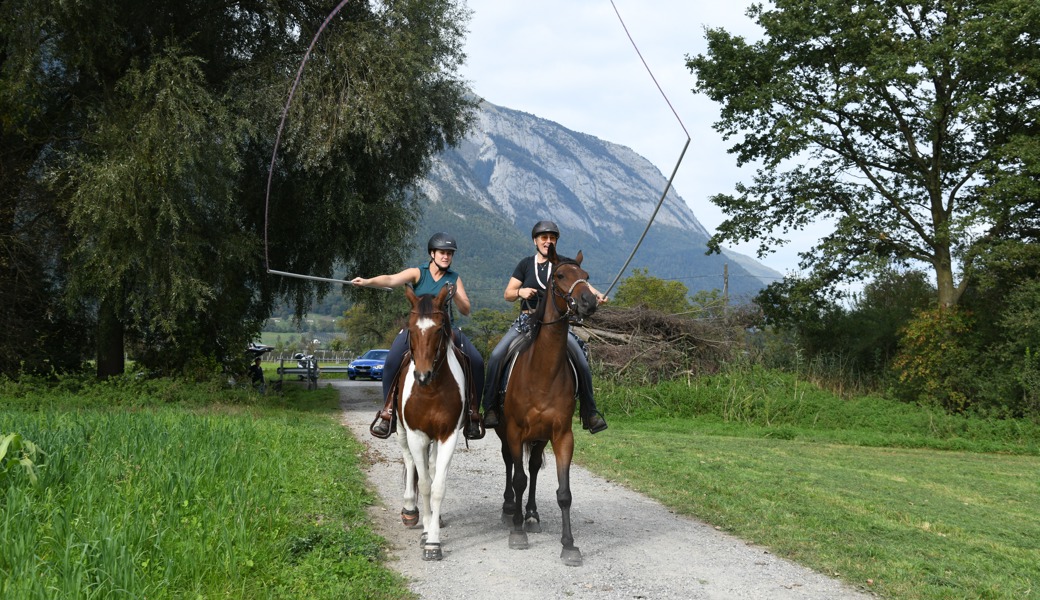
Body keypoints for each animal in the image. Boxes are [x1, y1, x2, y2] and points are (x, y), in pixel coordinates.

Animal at [395, 282, 465, 557]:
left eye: (438, 329)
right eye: (412, 329)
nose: (422, 375)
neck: (432, 390)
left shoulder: (448, 435)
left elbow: (437, 486)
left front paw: (433, 540)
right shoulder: (416, 435)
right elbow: (423, 483)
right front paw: (426, 531)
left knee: (432, 467)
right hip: (403, 433)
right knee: (410, 462)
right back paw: (410, 510)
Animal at [497, 241, 603, 565]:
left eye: (586, 275)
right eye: (559, 276)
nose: (588, 302)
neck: (542, 372)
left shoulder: (562, 435)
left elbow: (563, 492)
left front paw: (569, 545)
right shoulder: (514, 431)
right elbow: (517, 479)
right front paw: (517, 532)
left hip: (540, 436)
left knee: (532, 467)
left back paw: (531, 514)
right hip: (506, 433)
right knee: (511, 465)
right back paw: (510, 511)